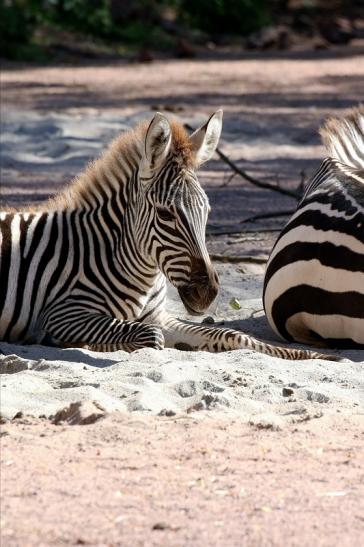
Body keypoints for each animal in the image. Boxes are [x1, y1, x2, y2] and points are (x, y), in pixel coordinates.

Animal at [0, 111, 342, 360]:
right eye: (166, 215)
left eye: (207, 211)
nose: (208, 293)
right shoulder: (61, 314)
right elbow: (151, 339)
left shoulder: (157, 316)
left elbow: (232, 334)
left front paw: (307, 355)